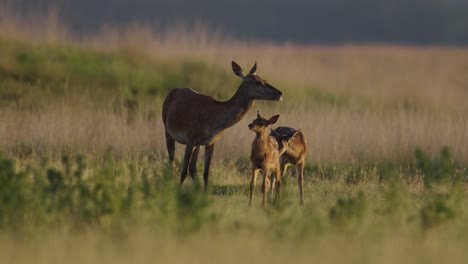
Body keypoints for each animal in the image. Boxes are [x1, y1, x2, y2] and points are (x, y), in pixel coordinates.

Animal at [163, 61, 284, 191]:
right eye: (258, 82)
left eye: (264, 79)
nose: (280, 93)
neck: (215, 120)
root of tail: (172, 92)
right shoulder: (190, 139)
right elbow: (183, 171)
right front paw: (177, 192)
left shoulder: (210, 142)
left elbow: (206, 173)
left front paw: (204, 193)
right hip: (167, 129)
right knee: (172, 163)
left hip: (197, 145)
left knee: (192, 167)